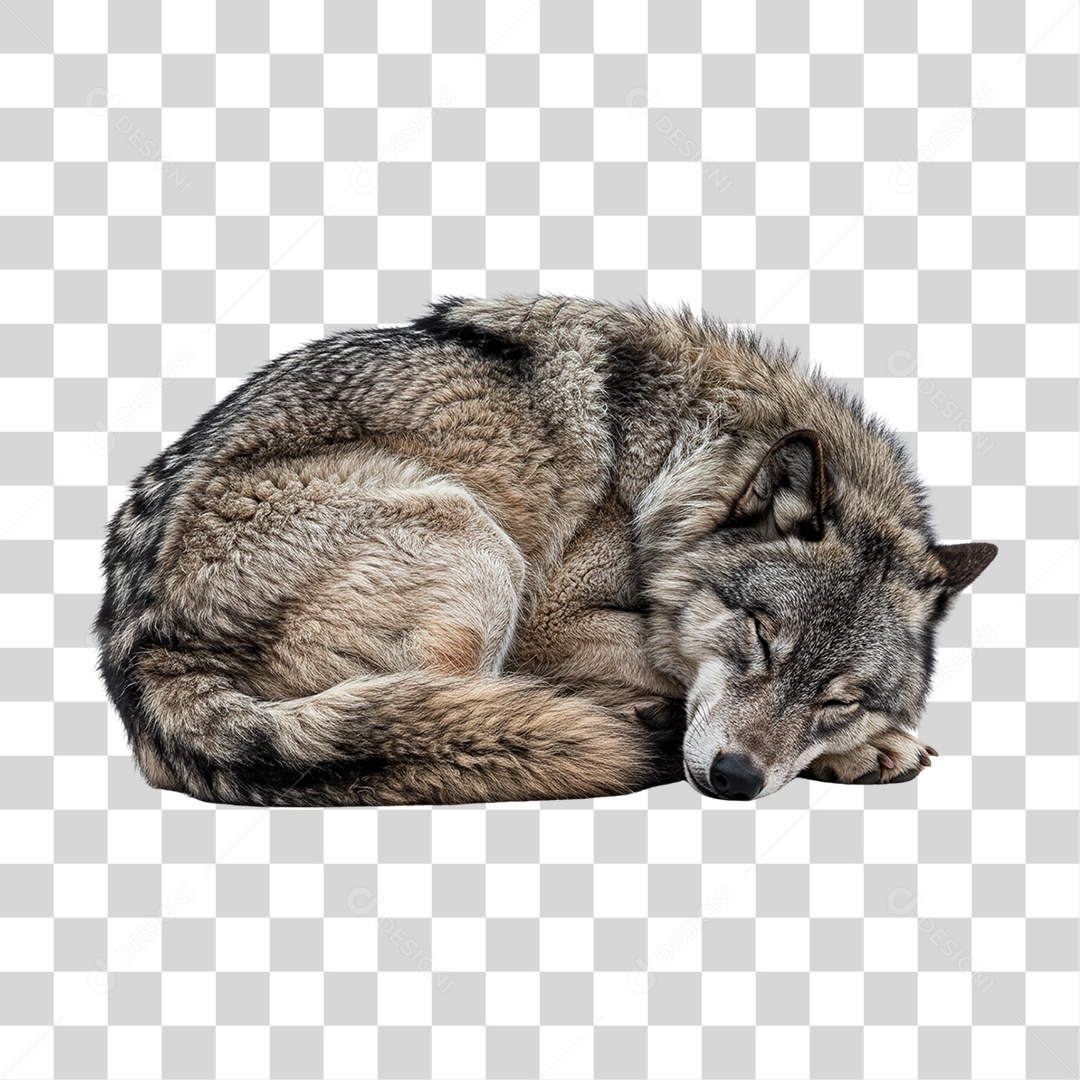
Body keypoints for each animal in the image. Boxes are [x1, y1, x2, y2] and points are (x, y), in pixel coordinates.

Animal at [94, 295, 996, 806]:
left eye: (839, 698)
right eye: (760, 641)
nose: (736, 781)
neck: (676, 461)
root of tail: (142, 653)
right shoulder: (551, 618)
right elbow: (664, 652)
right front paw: (873, 749)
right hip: (477, 541)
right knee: (455, 709)